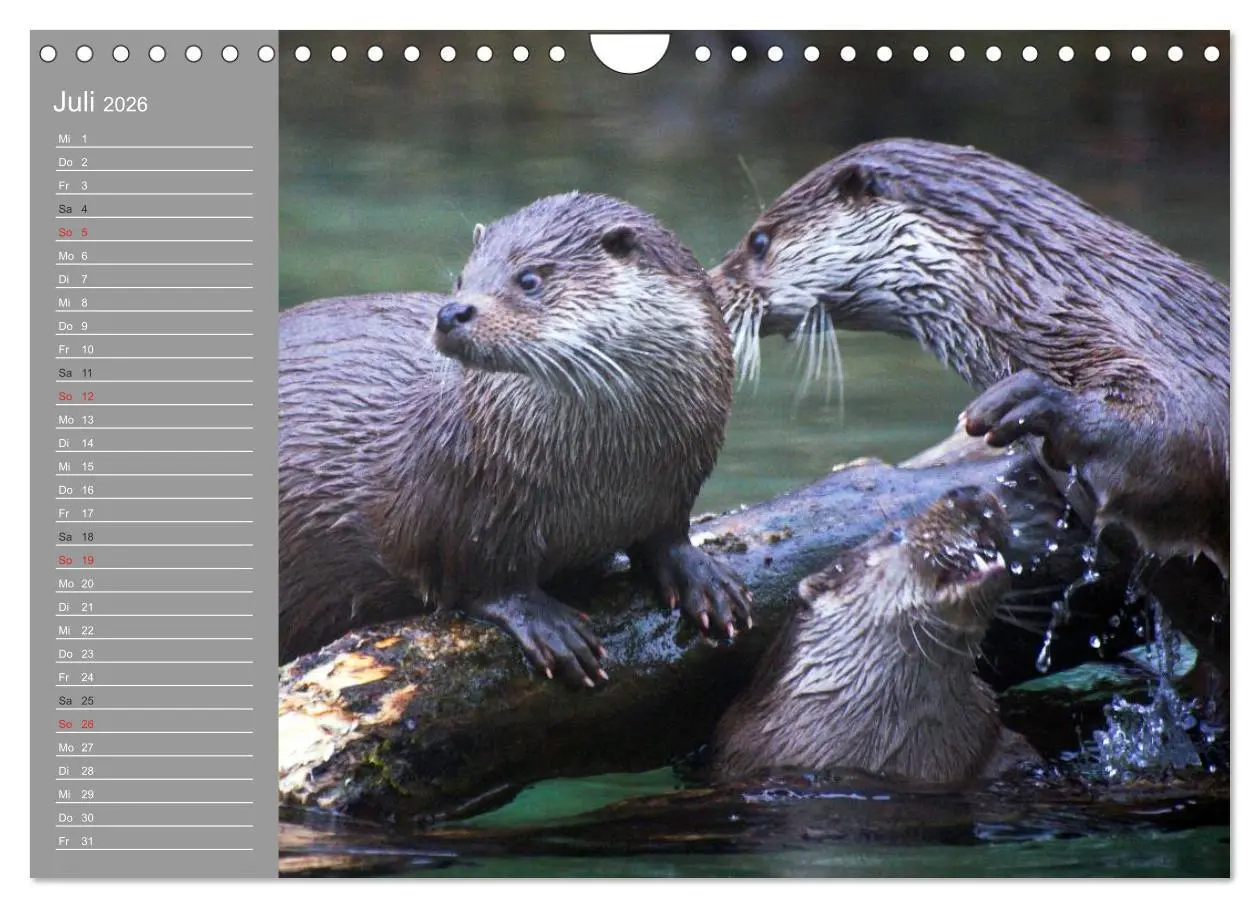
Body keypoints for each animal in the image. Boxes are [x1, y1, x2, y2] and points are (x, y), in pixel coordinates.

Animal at [279, 192, 752, 683]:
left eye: (529, 279)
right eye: (461, 278)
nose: (451, 312)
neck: (606, 476)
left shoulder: (679, 480)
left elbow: (668, 535)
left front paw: (702, 578)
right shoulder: (469, 504)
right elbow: (483, 583)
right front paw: (547, 625)